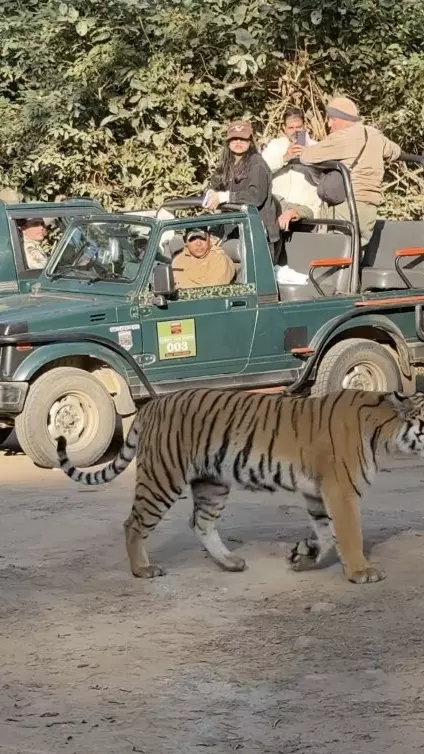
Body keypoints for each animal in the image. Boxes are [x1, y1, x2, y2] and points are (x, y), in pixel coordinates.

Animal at [56, 387, 424, 585]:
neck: (385, 430)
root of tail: (152, 405)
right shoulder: (340, 490)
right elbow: (348, 533)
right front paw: (362, 572)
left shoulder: (317, 493)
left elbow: (325, 534)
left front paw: (304, 556)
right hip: (163, 477)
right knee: (133, 523)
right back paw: (143, 569)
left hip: (212, 483)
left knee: (200, 523)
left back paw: (230, 562)